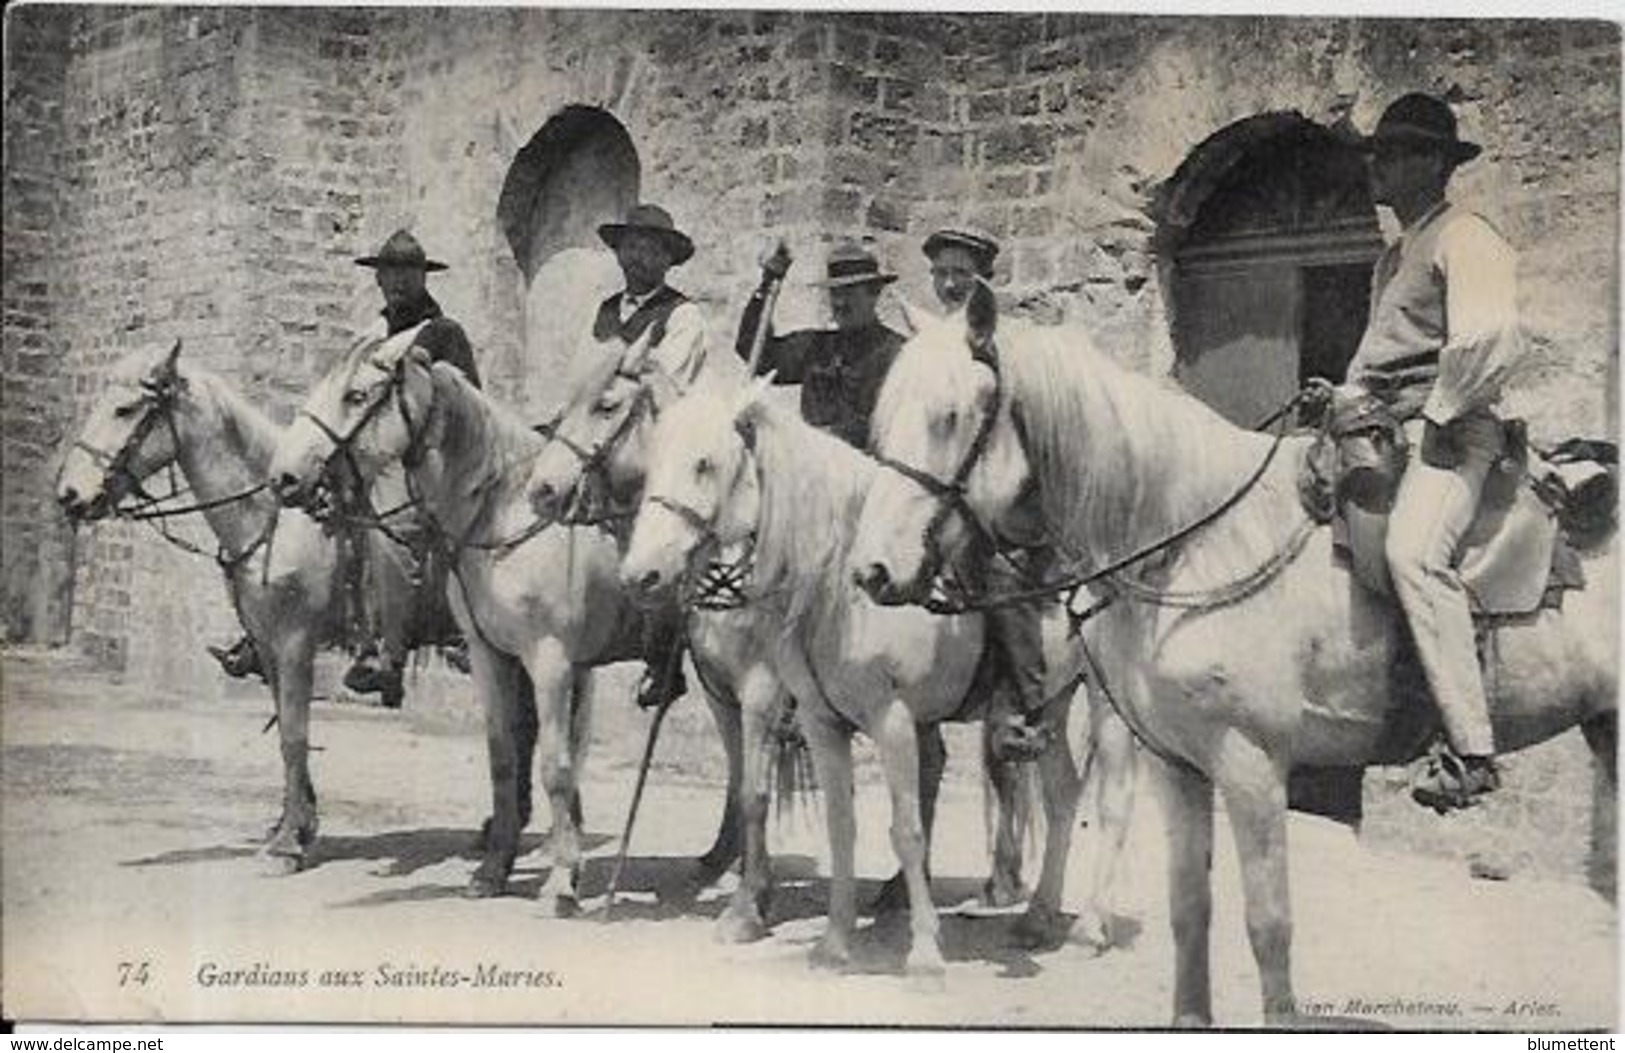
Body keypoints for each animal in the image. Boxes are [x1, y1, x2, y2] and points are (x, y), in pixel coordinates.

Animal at [845, 284, 1618, 1027]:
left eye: (949, 416)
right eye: (884, 420)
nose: (871, 571)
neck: (1198, 541)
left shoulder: (1252, 763)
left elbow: (1269, 926)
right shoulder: (1179, 764)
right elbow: (1190, 912)